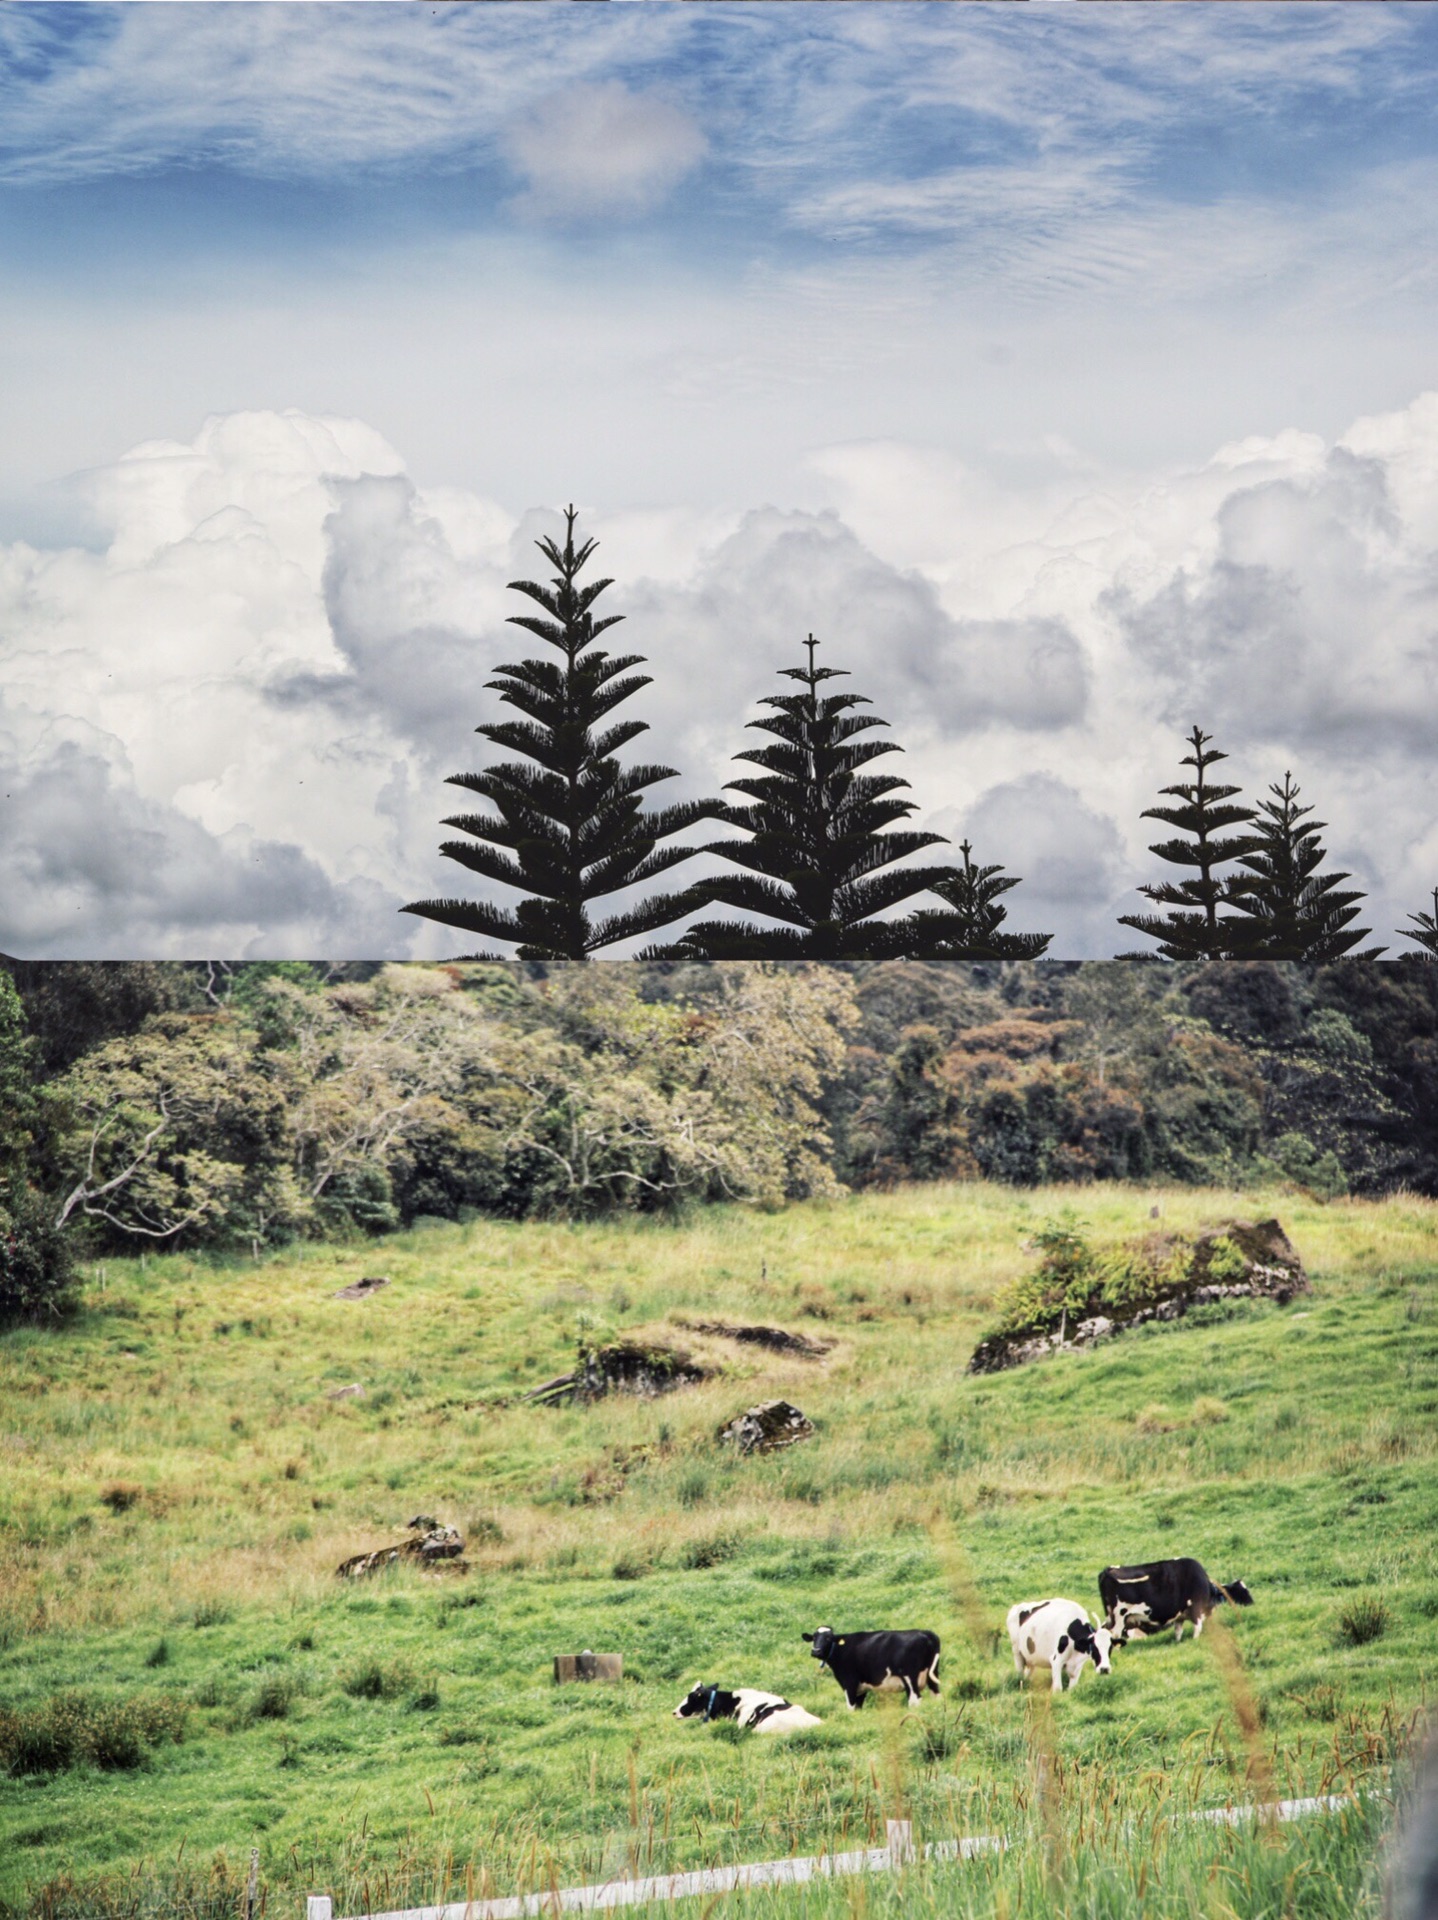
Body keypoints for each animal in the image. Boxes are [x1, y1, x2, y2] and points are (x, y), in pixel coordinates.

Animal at [794, 1620, 940, 1712]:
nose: (816, 1651)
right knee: (936, 1696)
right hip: (932, 1675)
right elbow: (858, 1708)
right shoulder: (861, 1687)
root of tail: (924, 1633)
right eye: (814, 1637)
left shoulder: (849, 1682)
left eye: (828, 1638)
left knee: (915, 1700)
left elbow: (851, 1707)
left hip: (910, 1677)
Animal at [1090, 1551, 1251, 1643]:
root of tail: (1108, 1570)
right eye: (1243, 1592)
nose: (1252, 1603)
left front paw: (1178, 1642)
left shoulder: (1179, 1616)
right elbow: (1197, 1628)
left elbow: (1178, 1631)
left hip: (1110, 1618)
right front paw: (1195, 1640)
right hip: (1119, 1618)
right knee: (1114, 1636)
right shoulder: (1196, 1609)